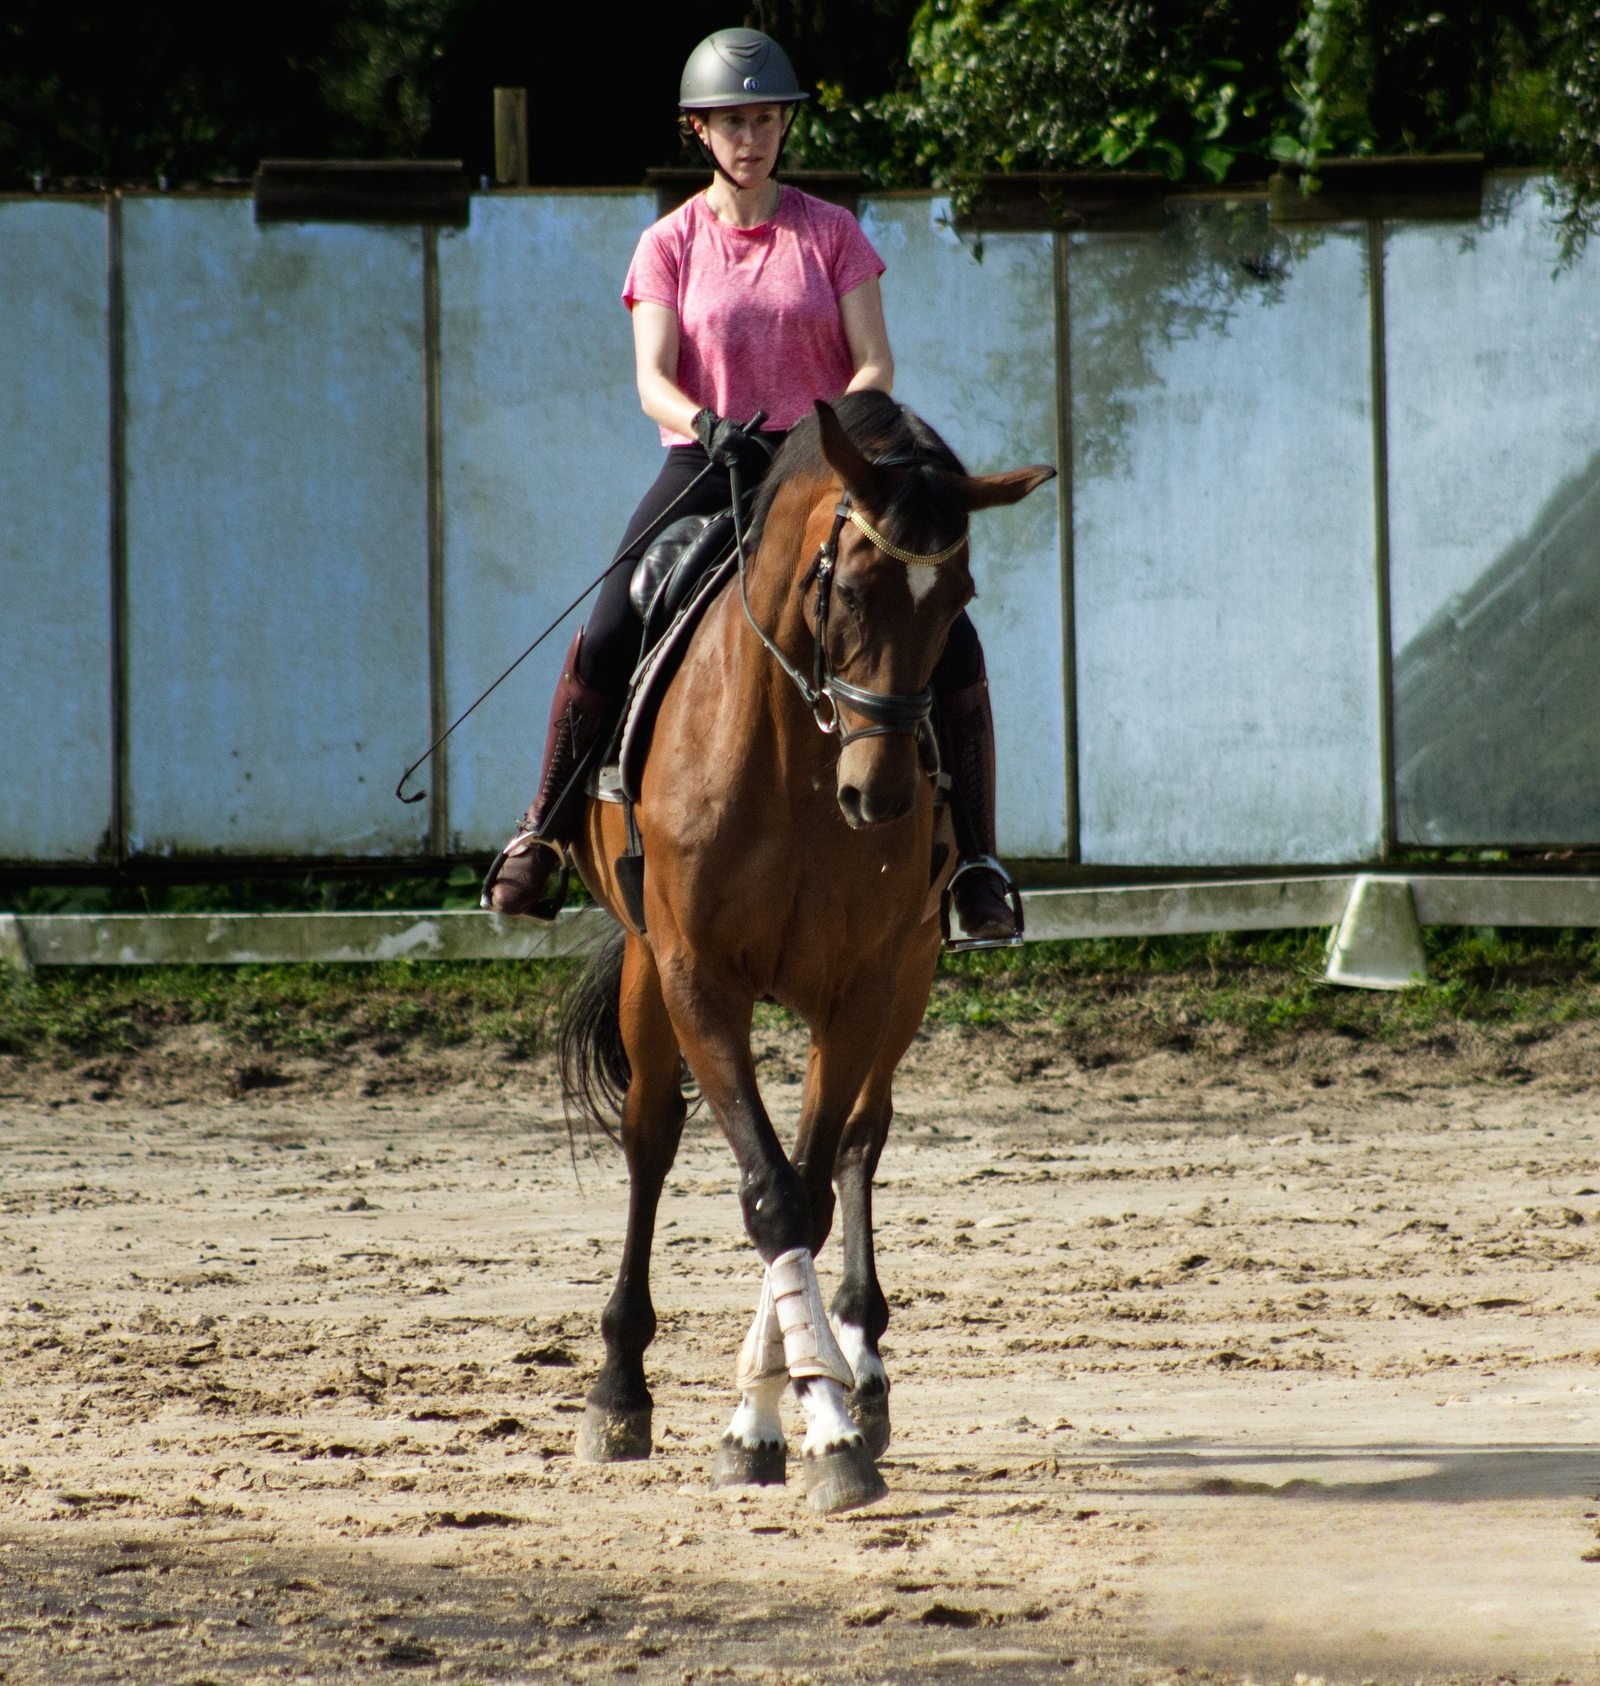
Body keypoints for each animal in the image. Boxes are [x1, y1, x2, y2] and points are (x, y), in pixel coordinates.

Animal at [557, 390, 1055, 1513]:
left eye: (958, 599)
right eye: (854, 589)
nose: (883, 796)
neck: (791, 760)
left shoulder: (863, 985)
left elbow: (810, 1190)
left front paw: (803, 1414)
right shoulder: (697, 978)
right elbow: (769, 1189)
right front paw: (796, 1424)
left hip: (909, 979)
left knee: (861, 1139)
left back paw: (860, 1361)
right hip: (648, 975)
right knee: (651, 1138)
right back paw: (620, 1387)